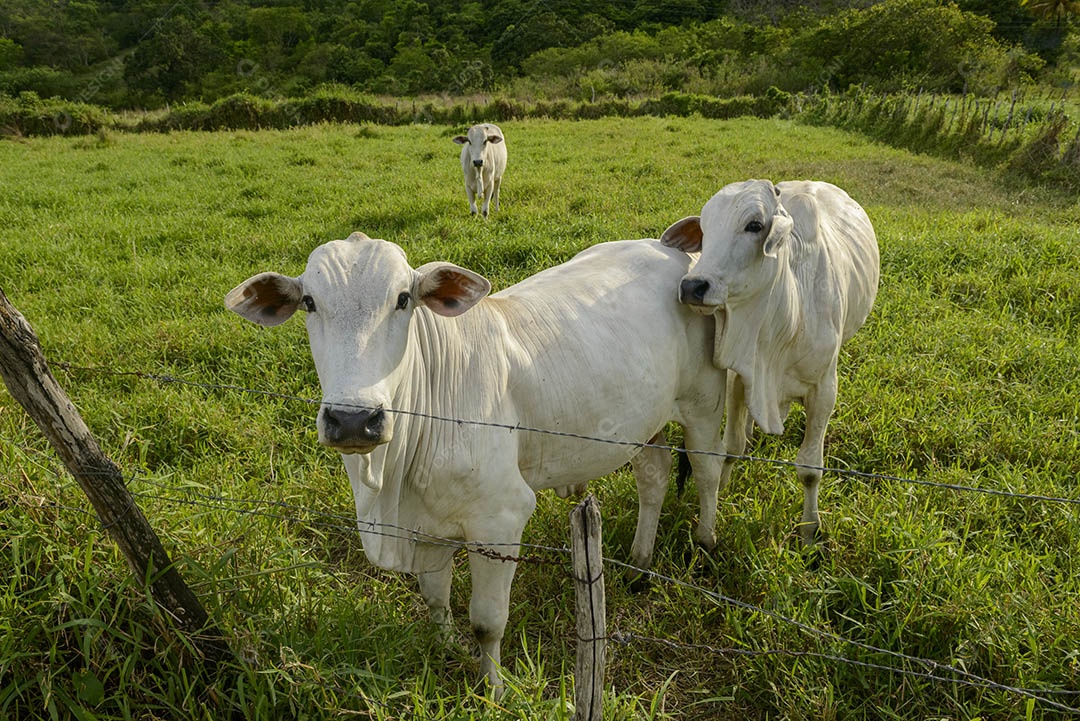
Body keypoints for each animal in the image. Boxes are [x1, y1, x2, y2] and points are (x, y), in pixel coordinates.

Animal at [225, 232, 728, 691]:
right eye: (309, 302)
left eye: (403, 299)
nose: (353, 420)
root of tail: (671, 250)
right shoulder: (425, 525)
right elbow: (434, 598)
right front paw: (447, 648)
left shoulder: (500, 519)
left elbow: (487, 621)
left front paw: (495, 688)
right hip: (644, 424)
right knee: (654, 474)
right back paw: (641, 563)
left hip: (703, 404)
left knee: (708, 471)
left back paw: (706, 542)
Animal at [661, 180, 879, 546]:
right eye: (705, 229)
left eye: (754, 226)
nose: (693, 285)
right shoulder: (740, 376)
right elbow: (732, 447)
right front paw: (724, 487)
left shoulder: (824, 389)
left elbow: (810, 470)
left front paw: (809, 530)